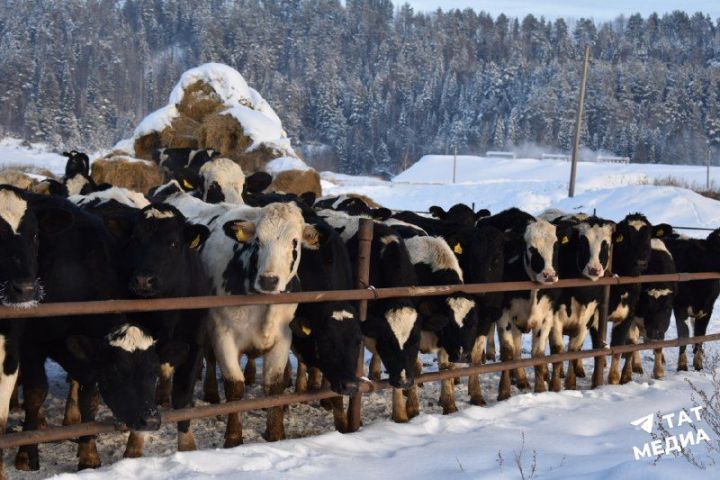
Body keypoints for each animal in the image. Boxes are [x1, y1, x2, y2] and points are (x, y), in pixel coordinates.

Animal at [656, 224, 716, 372]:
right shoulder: (680, 306)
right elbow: (684, 335)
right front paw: (682, 366)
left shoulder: (708, 308)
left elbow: (699, 335)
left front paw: (698, 364)